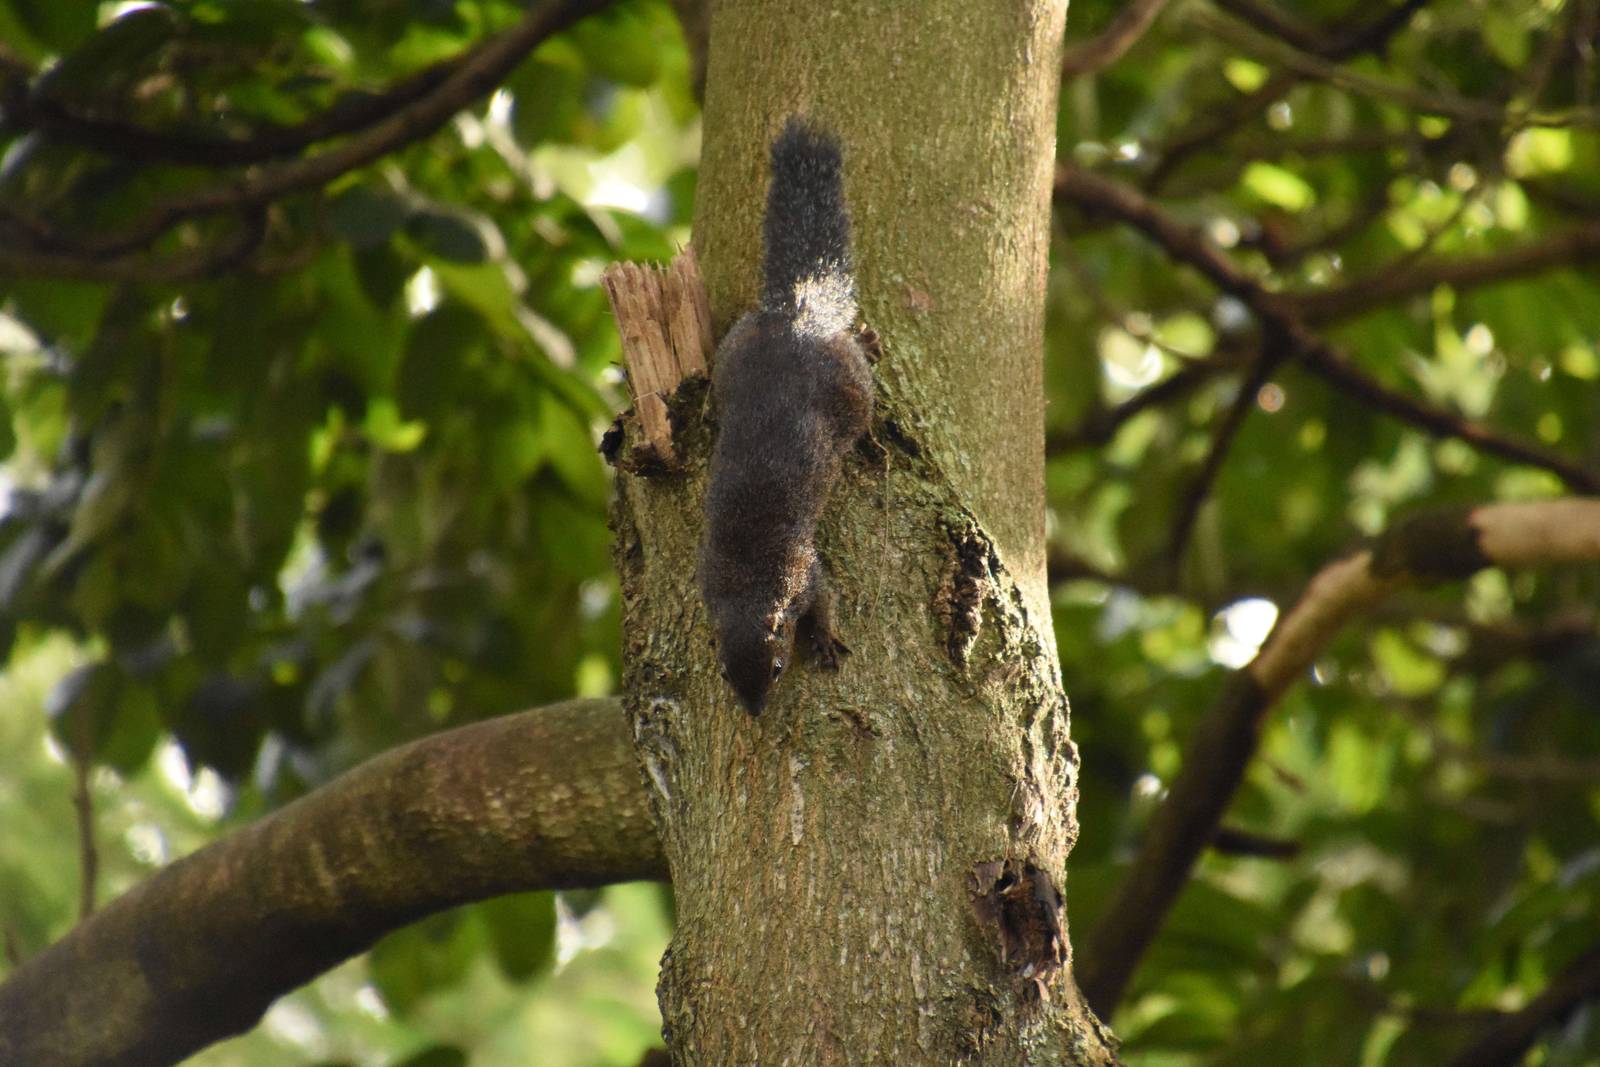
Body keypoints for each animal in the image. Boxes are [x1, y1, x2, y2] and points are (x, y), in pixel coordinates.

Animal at [698, 117, 877, 716]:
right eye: (725, 674)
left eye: (777, 669)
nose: (754, 713)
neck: (751, 585)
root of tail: (795, 315)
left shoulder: (806, 573)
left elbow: (825, 603)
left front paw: (824, 640)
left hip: (853, 388)